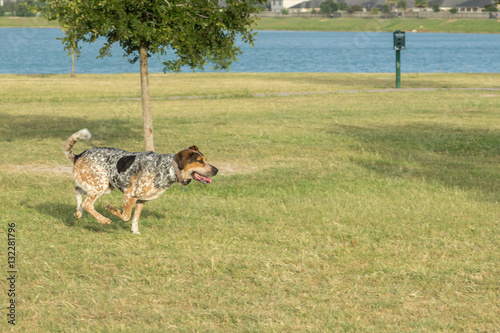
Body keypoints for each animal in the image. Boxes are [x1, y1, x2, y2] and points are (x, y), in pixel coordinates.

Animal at [62, 128, 217, 232]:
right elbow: (126, 216)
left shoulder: (141, 200)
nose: (216, 170)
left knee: (78, 190)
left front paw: (135, 232)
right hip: (101, 184)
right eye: (200, 161)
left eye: (205, 160)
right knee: (88, 204)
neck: (167, 168)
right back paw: (103, 220)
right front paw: (112, 209)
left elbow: (135, 218)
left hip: (103, 186)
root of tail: (78, 155)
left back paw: (78, 213)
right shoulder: (130, 195)